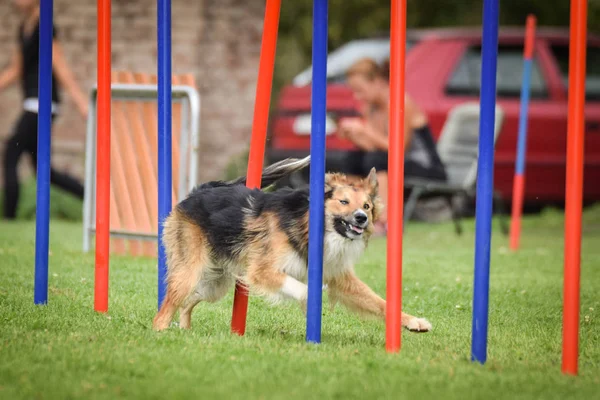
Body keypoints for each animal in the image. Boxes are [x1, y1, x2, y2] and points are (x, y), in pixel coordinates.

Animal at [151, 158, 432, 332]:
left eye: (367, 206)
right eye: (343, 202)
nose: (362, 218)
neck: (307, 224)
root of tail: (199, 191)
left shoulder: (340, 277)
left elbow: (379, 302)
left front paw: (414, 321)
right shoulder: (262, 271)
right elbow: (302, 288)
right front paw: (312, 302)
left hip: (215, 283)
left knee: (187, 302)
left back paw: (185, 331)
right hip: (190, 271)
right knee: (166, 308)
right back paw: (161, 332)